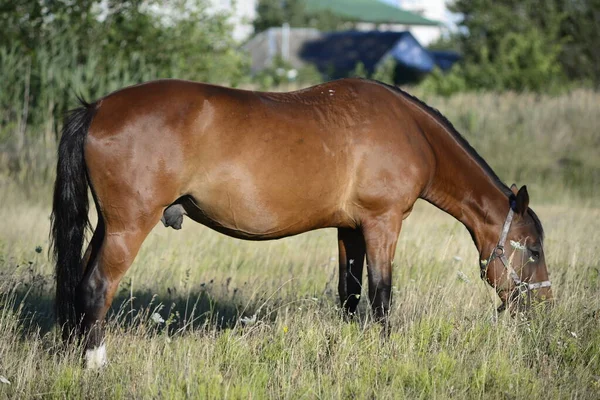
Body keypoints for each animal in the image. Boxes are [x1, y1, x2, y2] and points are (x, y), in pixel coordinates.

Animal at [51, 77, 552, 368]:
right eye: (533, 248)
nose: (544, 307)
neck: (410, 131)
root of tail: (97, 108)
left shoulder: (349, 229)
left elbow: (350, 295)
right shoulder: (382, 223)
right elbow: (382, 295)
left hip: (107, 227)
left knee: (79, 282)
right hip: (128, 227)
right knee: (96, 286)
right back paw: (95, 363)